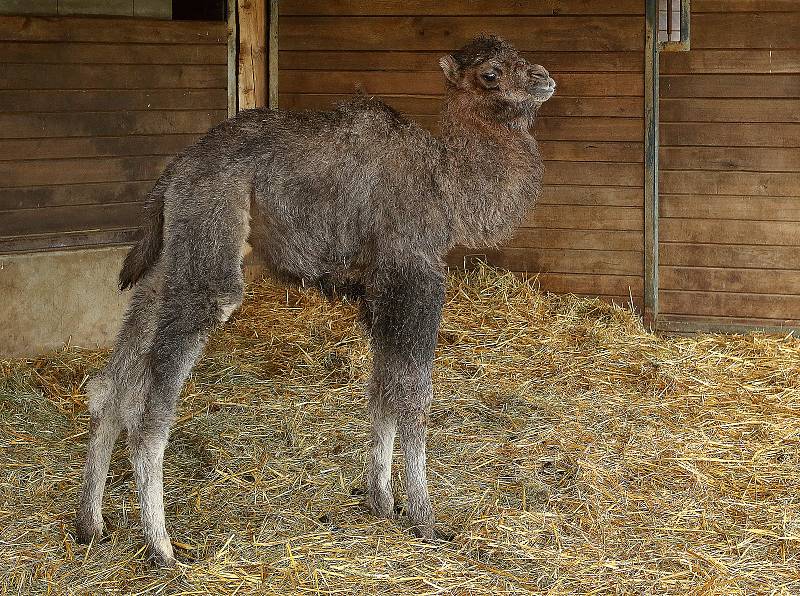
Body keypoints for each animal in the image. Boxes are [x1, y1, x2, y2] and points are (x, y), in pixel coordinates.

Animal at [75, 35, 552, 564]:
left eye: (521, 58)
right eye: (490, 73)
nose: (544, 78)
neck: (445, 183)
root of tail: (174, 172)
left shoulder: (377, 290)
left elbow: (380, 391)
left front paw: (382, 502)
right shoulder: (414, 273)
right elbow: (412, 394)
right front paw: (425, 520)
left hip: (171, 255)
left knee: (112, 385)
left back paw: (89, 524)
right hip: (212, 233)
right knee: (150, 409)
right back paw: (162, 548)